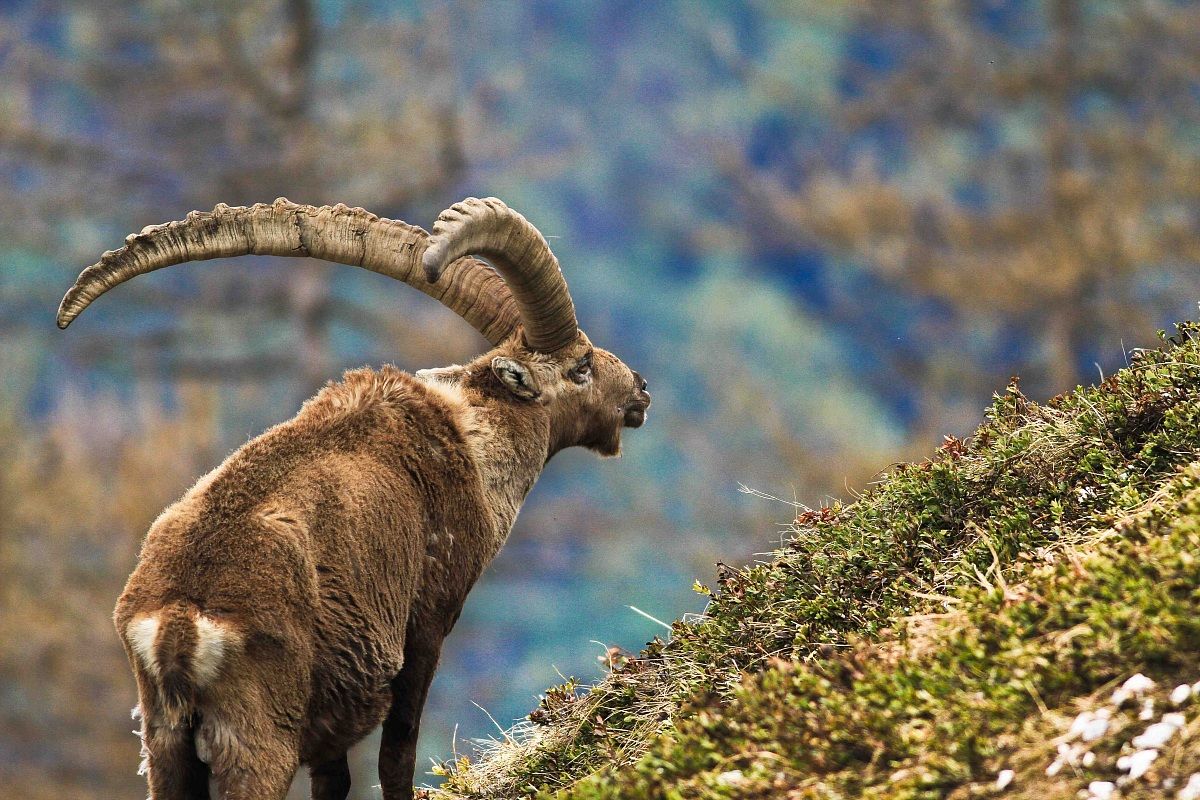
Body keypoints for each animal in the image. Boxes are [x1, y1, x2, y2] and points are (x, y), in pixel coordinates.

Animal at [56, 197, 651, 800]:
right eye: (581, 367)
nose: (640, 390)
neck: (471, 440)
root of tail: (178, 623)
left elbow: (334, 778)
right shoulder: (427, 620)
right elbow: (398, 754)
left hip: (164, 742)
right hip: (258, 734)